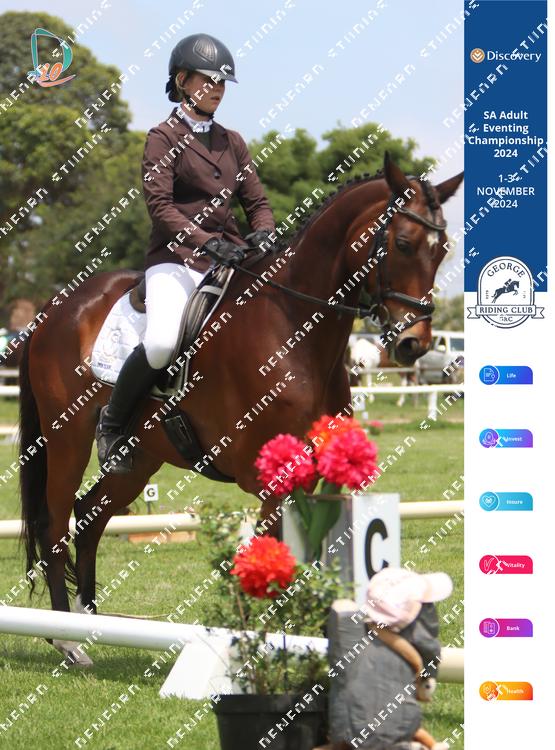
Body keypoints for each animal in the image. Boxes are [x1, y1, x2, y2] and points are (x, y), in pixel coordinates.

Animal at [17, 153, 463, 664]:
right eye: (404, 244)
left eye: (442, 250)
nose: (413, 345)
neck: (293, 327)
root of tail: (58, 305)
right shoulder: (270, 476)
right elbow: (275, 556)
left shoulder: (317, 472)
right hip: (66, 439)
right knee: (55, 524)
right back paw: (67, 639)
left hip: (139, 458)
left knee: (90, 517)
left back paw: (91, 624)